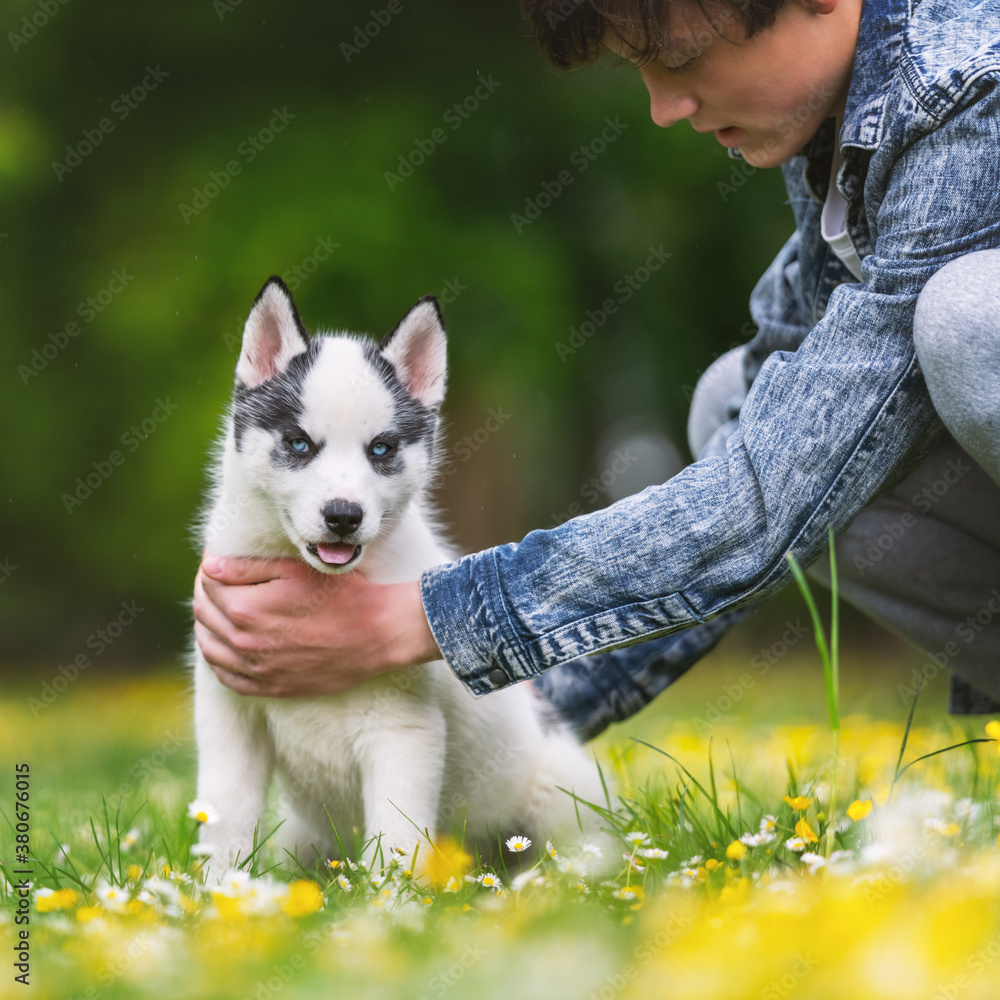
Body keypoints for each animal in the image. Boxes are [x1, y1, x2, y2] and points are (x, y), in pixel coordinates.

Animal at [191, 278, 604, 872]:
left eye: (381, 449)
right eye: (298, 443)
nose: (343, 516)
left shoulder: (403, 731)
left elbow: (396, 837)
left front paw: (390, 897)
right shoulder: (229, 719)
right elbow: (225, 821)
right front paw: (223, 890)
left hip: (558, 787)